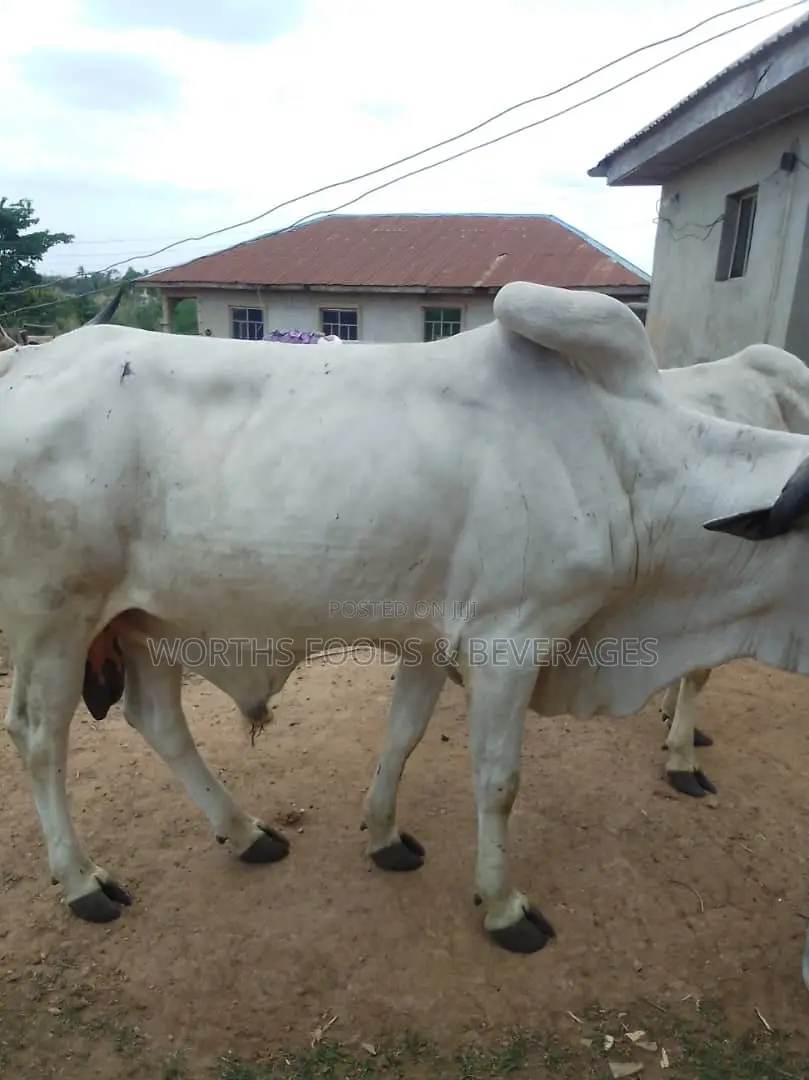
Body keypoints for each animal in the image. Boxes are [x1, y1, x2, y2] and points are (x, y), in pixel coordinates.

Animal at [6, 281, 809, 985]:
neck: (628, 462)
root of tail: (22, 365)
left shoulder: (434, 640)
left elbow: (403, 736)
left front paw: (383, 834)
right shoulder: (509, 644)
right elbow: (498, 783)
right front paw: (503, 904)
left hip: (143, 623)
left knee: (158, 721)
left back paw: (244, 832)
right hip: (57, 620)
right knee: (40, 740)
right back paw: (82, 881)